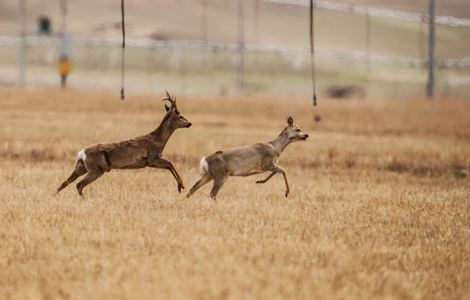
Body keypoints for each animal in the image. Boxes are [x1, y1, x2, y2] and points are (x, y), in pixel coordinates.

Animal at [56, 91, 192, 197]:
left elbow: (169, 165)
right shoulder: (151, 159)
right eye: (180, 116)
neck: (158, 139)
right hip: (97, 169)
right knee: (79, 185)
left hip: (82, 167)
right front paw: (181, 186)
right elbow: (170, 164)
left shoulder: (152, 160)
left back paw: (53, 197)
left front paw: (181, 186)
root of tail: (82, 153)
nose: (189, 123)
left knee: (64, 183)